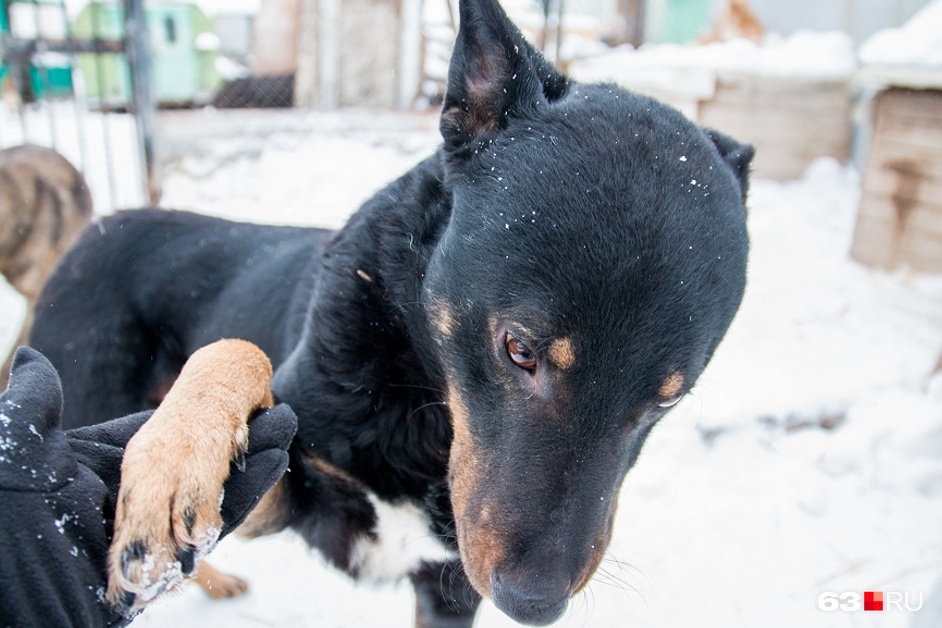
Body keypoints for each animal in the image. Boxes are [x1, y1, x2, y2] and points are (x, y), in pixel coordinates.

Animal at [27, 0, 752, 624]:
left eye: (668, 399)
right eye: (518, 349)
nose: (533, 604)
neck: (426, 405)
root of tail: (96, 228)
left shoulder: (449, 589)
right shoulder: (288, 489)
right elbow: (239, 351)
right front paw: (175, 472)